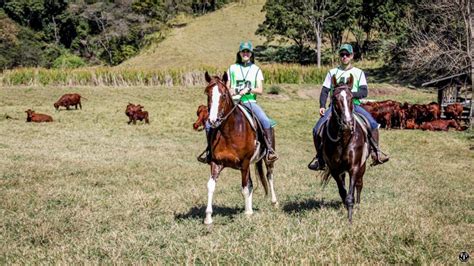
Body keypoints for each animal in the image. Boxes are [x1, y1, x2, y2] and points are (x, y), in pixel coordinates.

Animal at [203, 71, 278, 224]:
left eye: (223, 95)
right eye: (208, 94)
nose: (213, 121)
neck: (229, 132)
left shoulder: (244, 163)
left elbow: (245, 187)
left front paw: (247, 213)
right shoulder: (216, 162)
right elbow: (211, 186)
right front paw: (208, 217)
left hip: (267, 159)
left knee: (269, 176)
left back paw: (274, 202)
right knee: (252, 183)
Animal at [318, 74, 370, 222]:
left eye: (351, 98)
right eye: (335, 99)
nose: (347, 123)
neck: (344, 139)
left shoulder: (354, 167)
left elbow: (350, 195)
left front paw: (350, 219)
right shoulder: (335, 169)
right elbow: (343, 192)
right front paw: (345, 207)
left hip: (362, 167)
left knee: (359, 184)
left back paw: (358, 204)